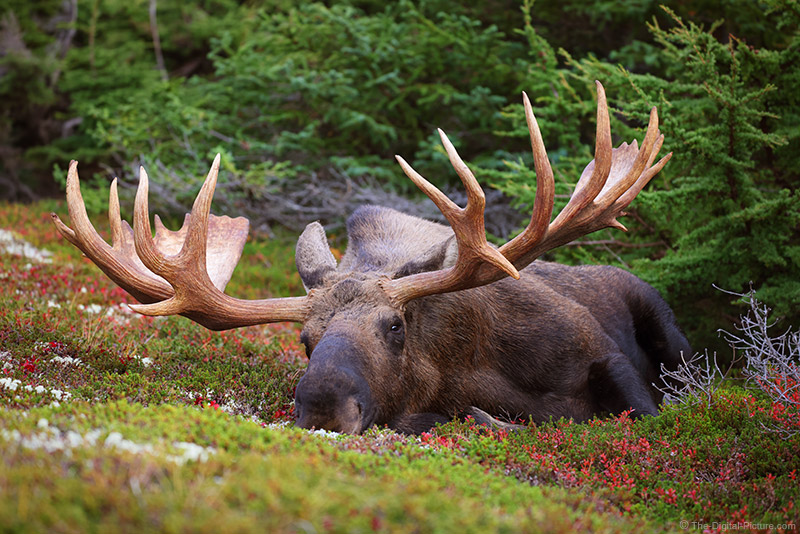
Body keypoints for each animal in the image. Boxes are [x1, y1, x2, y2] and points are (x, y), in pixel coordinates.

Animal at [51, 82, 688, 436]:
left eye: (395, 325)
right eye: (304, 339)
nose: (321, 407)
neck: (473, 369)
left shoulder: (599, 350)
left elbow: (652, 416)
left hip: (660, 315)